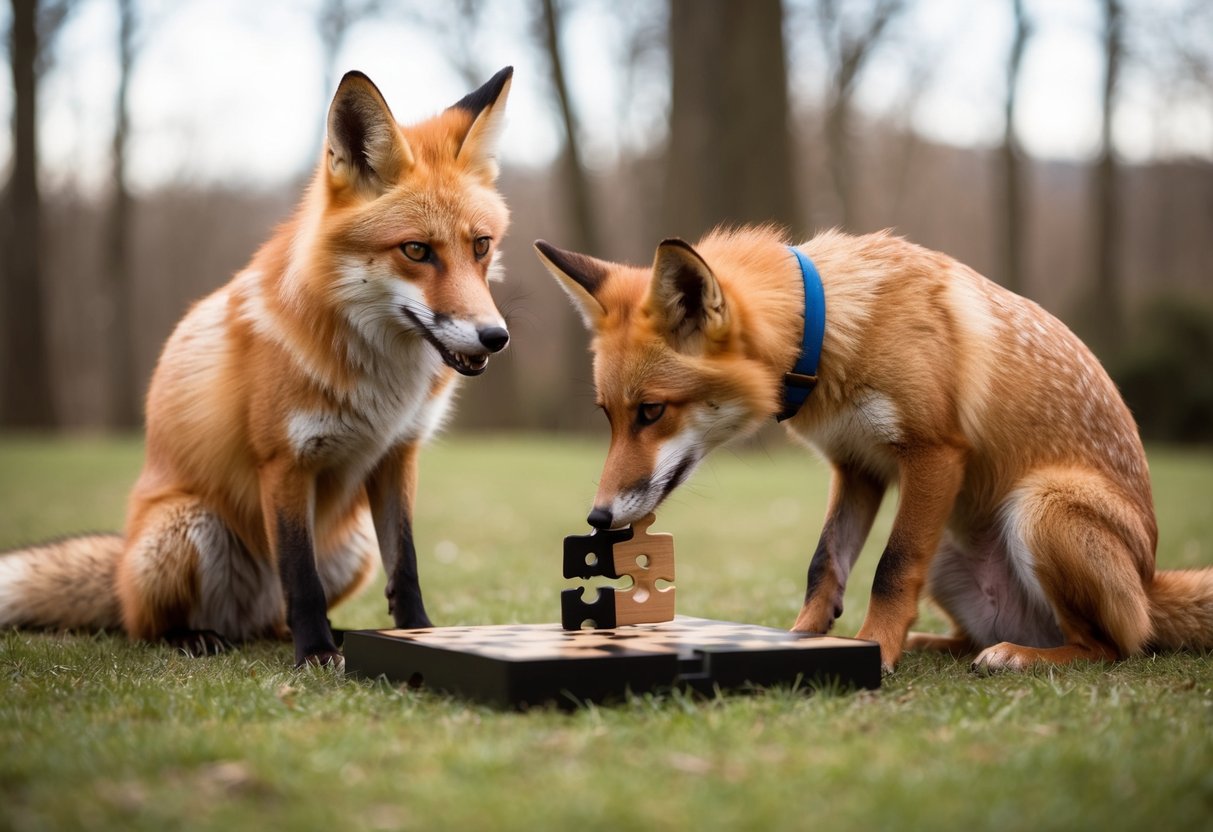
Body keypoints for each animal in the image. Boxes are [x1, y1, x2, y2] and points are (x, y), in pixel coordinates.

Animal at [0, 67, 515, 666]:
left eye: (480, 246)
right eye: (415, 251)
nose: (495, 337)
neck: (382, 383)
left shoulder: (396, 456)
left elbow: (405, 567)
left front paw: (418, 636)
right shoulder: (284, 461)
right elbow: (300, 576)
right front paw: (314, 655)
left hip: (353, 544)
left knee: (274, 618)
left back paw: (318, 633)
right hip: (186, 527)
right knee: (150, 624)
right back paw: (198, 637)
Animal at [535, 226, 1213, 673]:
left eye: (652, 412)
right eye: (608, 416)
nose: (598, 517)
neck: (831, 331)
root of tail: (1150, 582)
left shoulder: (934, 454)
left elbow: (891, 568)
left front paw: (877, 650)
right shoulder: (856, 466)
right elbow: (824, 564)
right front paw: (807, 640)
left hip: (1040, 506)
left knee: (1115, 646)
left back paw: (1018, 655)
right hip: (953, 552)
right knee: (982, 635)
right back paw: (940, 645)